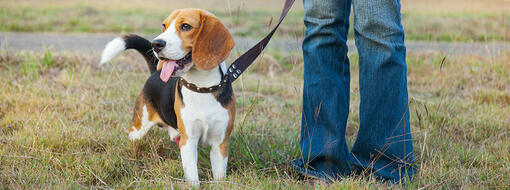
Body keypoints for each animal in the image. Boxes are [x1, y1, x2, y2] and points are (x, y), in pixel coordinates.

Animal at [100, 8, 237, 186]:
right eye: (164, 26)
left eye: (186, 26)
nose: (156, 44)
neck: (202, 88)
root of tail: (155, 73)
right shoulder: (188, 142)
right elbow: (192, 175)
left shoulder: (220, 144)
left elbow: (219, 176)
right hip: (138, 127)